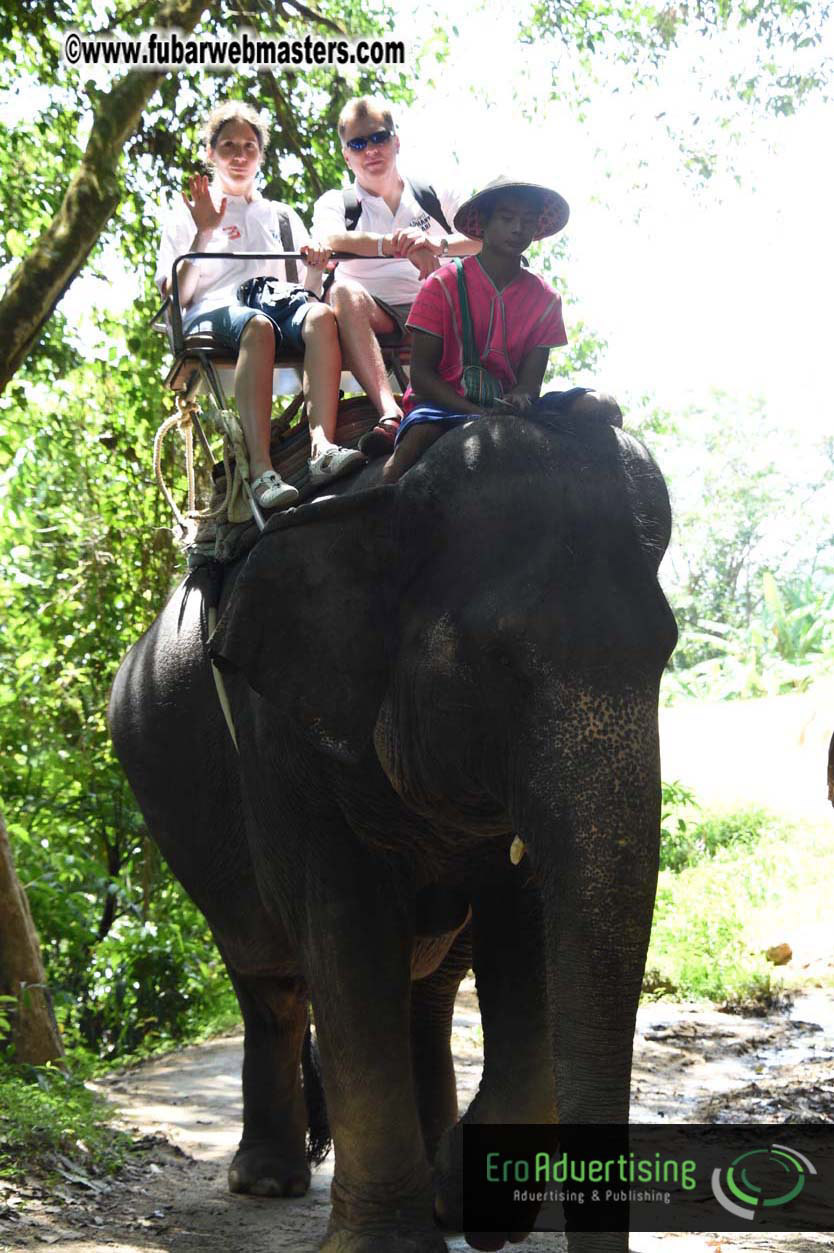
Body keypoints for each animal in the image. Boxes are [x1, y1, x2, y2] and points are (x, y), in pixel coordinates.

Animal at [108, 403, 676, 1253]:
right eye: (495, 662)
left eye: (667, 651)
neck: (388, 499)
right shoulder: (280, 735)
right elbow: (346, 932)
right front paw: (394, 1239)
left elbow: (529, 929)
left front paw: (470, 1203)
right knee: (270, 977)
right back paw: (265, 1181)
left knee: (428, 987)